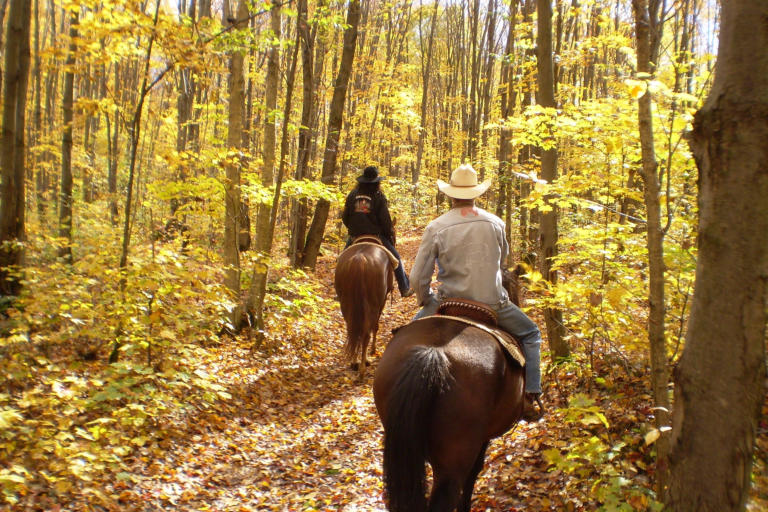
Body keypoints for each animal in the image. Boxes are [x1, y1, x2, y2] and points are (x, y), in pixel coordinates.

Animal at [334, 239, 394, 380]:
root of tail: (359, 259)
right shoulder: (382, 302)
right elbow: (375, 327)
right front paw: (373, 350)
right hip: (372, 306)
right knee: (366, 333)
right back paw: (362, 368)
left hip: (347, 305)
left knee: (353, 331)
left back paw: (355, 363)